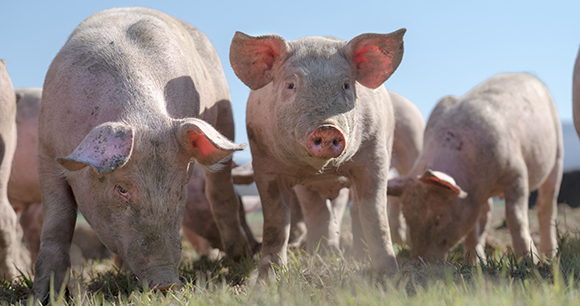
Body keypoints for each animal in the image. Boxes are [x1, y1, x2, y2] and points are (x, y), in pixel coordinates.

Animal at [32, 7, 249, 302]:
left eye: (179, 190)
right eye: (121, 189)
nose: (166, 283)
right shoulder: (46, 152)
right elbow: (58, 220)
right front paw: (43, 297)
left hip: (224, 112)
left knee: (221, 191)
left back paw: (240, 257)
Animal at [229, 29, 406, 278]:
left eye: (346, 84)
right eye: (291, 84)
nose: (327, 128)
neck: (322, 169)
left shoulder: (376, 156)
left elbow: (374, 213)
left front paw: (390, 273)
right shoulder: (264, 165)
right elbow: (276, 221)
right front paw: (268, 278)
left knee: (352, 209)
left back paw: (353, 255)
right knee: (317, 210)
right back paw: (322, 253)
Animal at [388, 73, 564, 260]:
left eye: (438, 217)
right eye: (408, 217)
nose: (421, 260)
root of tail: (528, 74)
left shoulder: (517, 172)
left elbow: (516, 217)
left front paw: (530, 261)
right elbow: (473, 228)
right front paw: (475, 264)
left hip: (557, 153)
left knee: (547, 204)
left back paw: (550, 256)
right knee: (486, 215)